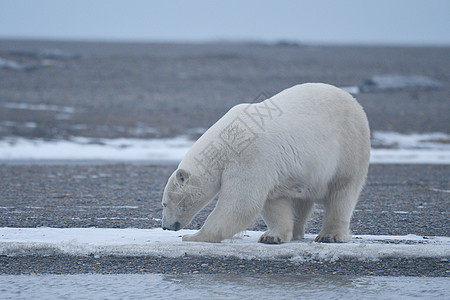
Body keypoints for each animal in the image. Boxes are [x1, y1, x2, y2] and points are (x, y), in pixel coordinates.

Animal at [162, 83, 370, 243]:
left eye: (164, 203)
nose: (165, 226)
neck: (225, 140)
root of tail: (352, 100)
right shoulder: (270, 165)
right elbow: (272, 201)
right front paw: (272, 236)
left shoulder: (249, 156)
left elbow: (241, 202)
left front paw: (193, 236)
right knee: (300, 198)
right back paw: (297, 231)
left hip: (349, 150)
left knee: (342, 193)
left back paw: (330, 235)